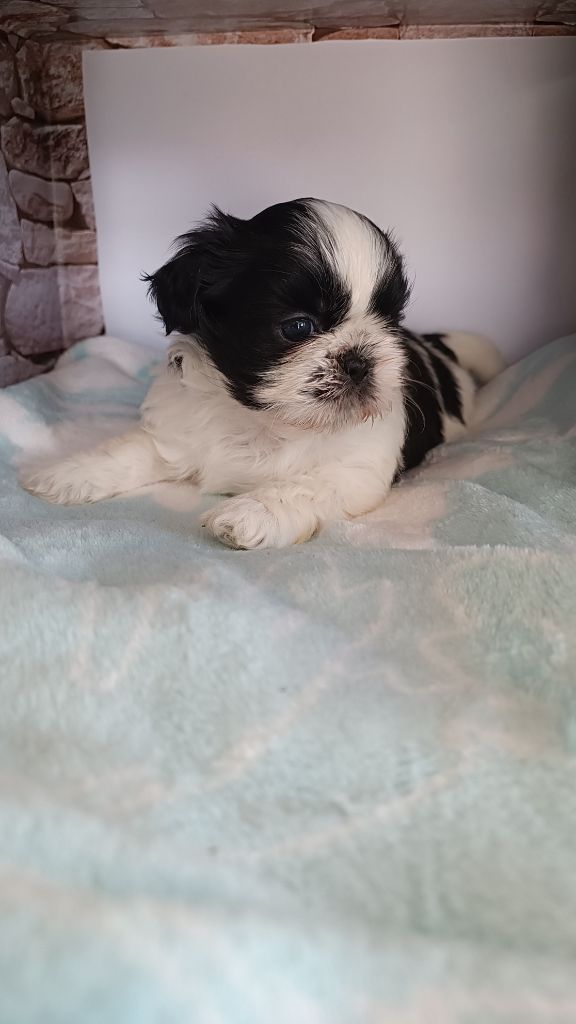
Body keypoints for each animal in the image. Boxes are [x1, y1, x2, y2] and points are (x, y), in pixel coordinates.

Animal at [21, 199, 505, 549]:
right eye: (298, 327)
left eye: (390, 322)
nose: (360, 359)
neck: (262, 422)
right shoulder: (175, 433)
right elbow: (129, 451)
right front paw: (67, 473)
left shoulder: (358, 468)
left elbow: (302, 486)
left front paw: (250, 513)